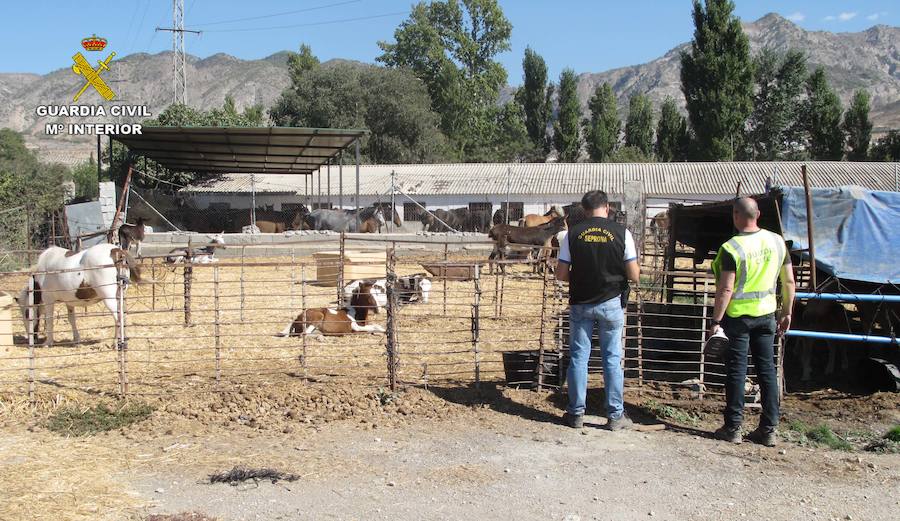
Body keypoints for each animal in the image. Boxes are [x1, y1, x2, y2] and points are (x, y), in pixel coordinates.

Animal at [14, 243, 142, 346]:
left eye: (26, 314)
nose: (31, 338)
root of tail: (116, 251)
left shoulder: (48, 299)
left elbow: (49, 320)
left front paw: (48, 342)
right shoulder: (69, 302)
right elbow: (72, 319)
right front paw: (76, 340)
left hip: (108, 298)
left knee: (117, 317)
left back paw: (115, 342)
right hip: (120, 295)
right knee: (122, 315)